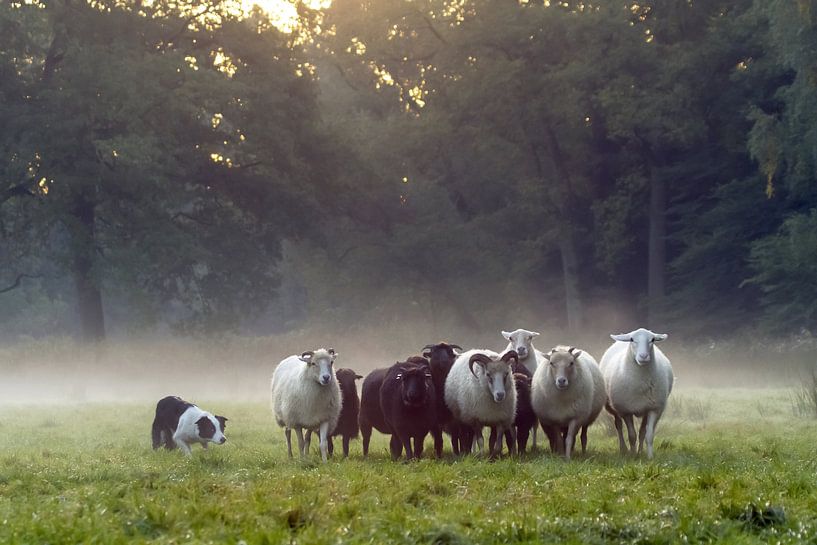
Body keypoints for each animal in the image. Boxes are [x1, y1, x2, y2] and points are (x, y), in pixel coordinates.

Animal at [596, 328, 672, 460]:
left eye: (652, 339)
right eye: (632, 340)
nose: (643, 356)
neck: (641, 383)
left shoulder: (654, 409)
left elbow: (648, 435)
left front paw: (649, 457)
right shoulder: (626, 411)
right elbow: (632, 435)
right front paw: (632, 455)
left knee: (642, 432)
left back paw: (640, 451)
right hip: (614, 407)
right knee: (618, 426)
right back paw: (624, 449)